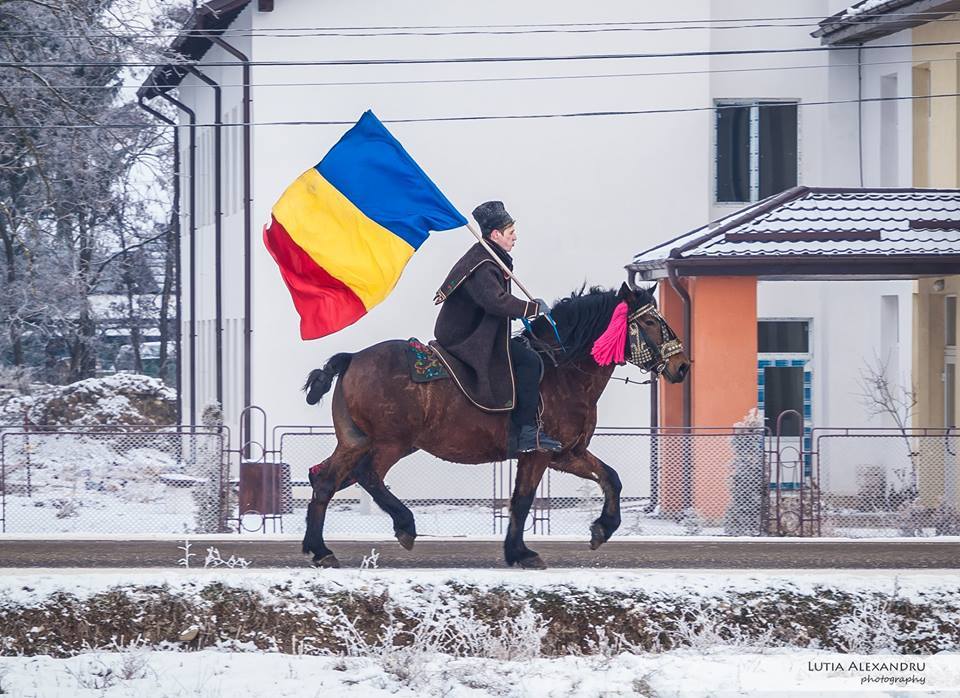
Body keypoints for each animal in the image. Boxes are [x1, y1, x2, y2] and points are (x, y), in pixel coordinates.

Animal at [304, 280, 688, 568]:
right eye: (649, 322)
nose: (682, 365)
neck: (563, 370)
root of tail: (353, 358)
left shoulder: (568, 453)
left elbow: (611, 478)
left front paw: (602, 529)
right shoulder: (538, 453)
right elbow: (522, 500)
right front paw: (520, 553)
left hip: (355, 441)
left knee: (324, 481)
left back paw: (320, 550)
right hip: (391, 442)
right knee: (368, 475)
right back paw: (404, 525)